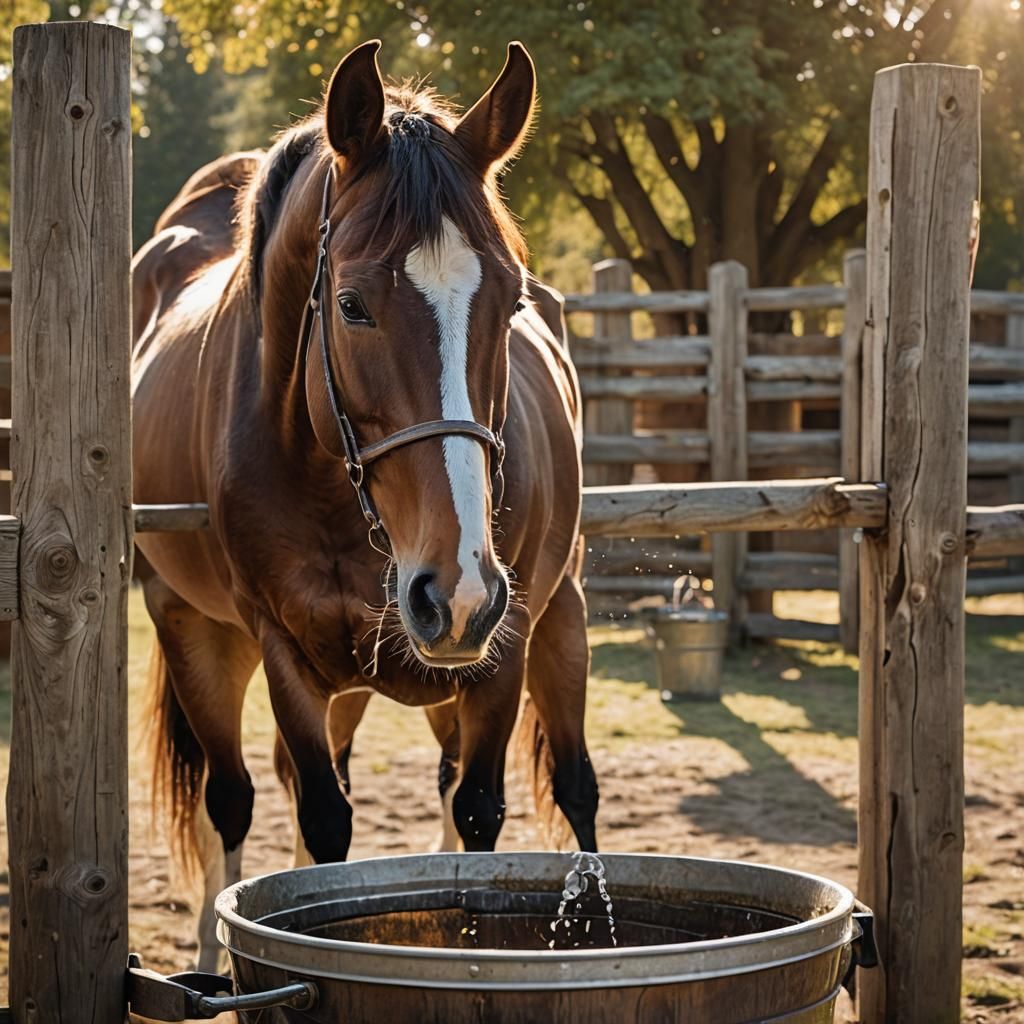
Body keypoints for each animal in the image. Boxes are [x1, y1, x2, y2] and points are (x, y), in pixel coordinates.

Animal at [131, 39, 598, 969]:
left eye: (513, 301)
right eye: (350, 304)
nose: (454, 589)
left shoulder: (501, 648)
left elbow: (478, 812)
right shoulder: (282, 650)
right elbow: (318, 821)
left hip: (545, 618)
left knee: (566, 784)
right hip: (193, 626)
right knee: (230, 798)